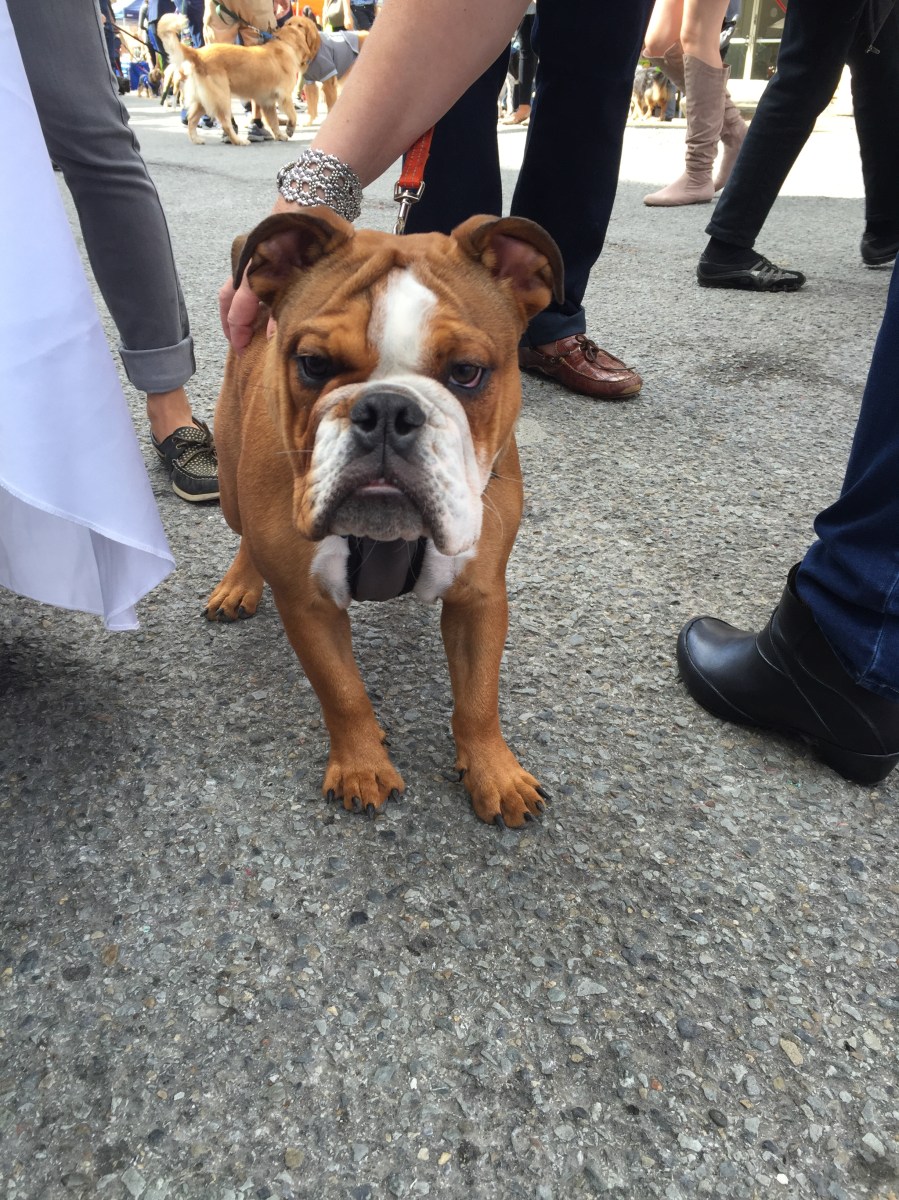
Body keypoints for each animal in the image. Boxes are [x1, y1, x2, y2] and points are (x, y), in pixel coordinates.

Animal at [156, 13, 319, 144]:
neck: (285, 43)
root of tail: (199, 53)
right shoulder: (284, 95)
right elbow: (292, 115)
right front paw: (290, 129)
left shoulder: (266, 101)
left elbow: (273, 121)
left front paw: (279, 135)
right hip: (222, 98)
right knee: (226, 124)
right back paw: (238, 141)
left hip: (203, 100)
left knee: (191, 120)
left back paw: (196, 139)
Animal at [206, 209, 564, 827]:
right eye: (313, 364)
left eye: (467, 372)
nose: (387, 409)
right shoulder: (308, 605)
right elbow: (342, 691)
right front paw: (361, 766)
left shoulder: (480, 596)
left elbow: (478, 697)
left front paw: (495, 772)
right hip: (230, 487)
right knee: (244, 532)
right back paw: (238, 584)